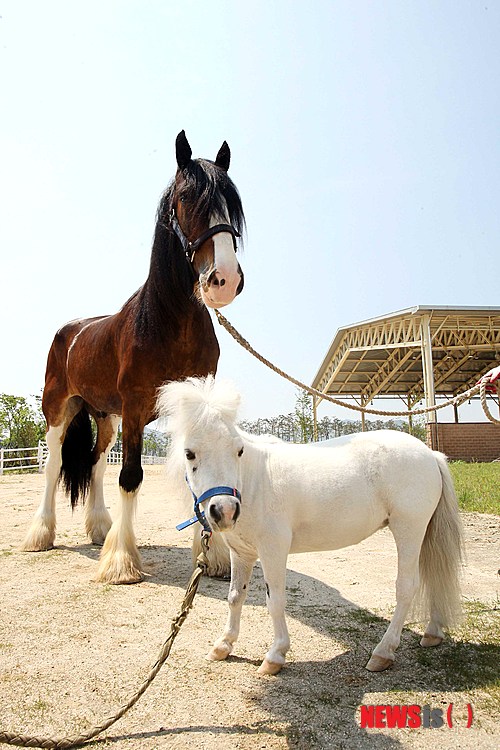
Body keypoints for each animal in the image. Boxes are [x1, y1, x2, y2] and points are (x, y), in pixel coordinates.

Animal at [21, 132, 244, 584]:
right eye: (186, 197)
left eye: (233, 202)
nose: (225, 280)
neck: (168, 323)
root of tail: (69, 331)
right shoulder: (137, 408)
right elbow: (131, 476)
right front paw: (122, 561)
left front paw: (210, 557)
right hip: (58, 410)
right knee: (54, 465)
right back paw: (42, 533)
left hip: (106, 417)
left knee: (95, 465)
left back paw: (99, 528)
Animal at [158, 378, 462, 680]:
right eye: (190, 454)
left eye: (239, 450)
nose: (225, 510)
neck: (254, 480)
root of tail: (430, 454)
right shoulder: (241, 554)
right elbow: (235, 597)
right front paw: (223, 645)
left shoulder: (273, 550)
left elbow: (275, 601)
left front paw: (275, 655)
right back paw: (432, 634)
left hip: (409, 529)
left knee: (406, 587)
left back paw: (383, 653)